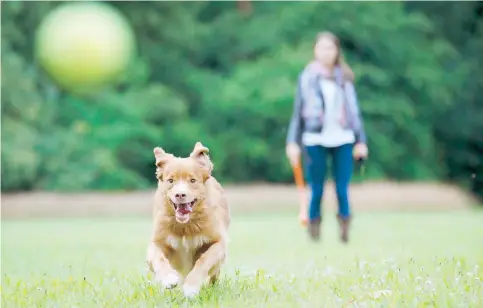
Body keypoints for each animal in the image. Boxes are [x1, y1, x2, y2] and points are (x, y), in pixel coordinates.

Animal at [146, 142, 231, 298]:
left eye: (192, 180)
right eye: (170, 181)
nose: (180, 194)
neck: (185, 226)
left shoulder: (218, 242)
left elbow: (203, 260)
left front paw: (191, 287)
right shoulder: (157, 241)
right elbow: (158, 258)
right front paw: (169, 278)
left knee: (214, 275)